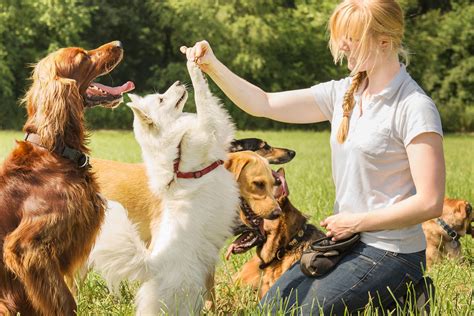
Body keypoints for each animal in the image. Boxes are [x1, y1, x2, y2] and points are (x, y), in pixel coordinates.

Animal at [90, 63, 243, 314]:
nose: (179, 82)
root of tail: (152, 265)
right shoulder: (212, 128)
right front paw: (194, 65)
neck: (176, 148)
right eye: (162, 99)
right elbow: (203, 97)